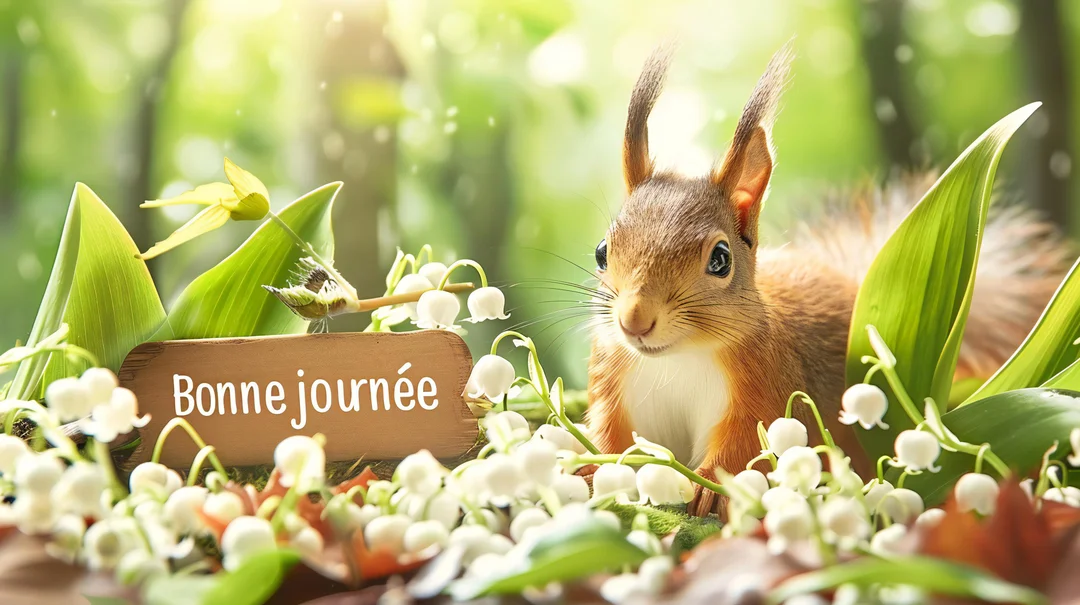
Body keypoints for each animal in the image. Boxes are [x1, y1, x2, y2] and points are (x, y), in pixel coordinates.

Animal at [584, 44, 1073, 516]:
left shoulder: (765, 384)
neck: (677, 359)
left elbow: (743, 446)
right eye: (602, 251)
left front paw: (710, 488)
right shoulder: (614, 383)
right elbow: (611, 439)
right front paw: (590, 471)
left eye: (720, 260)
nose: (634, 320)